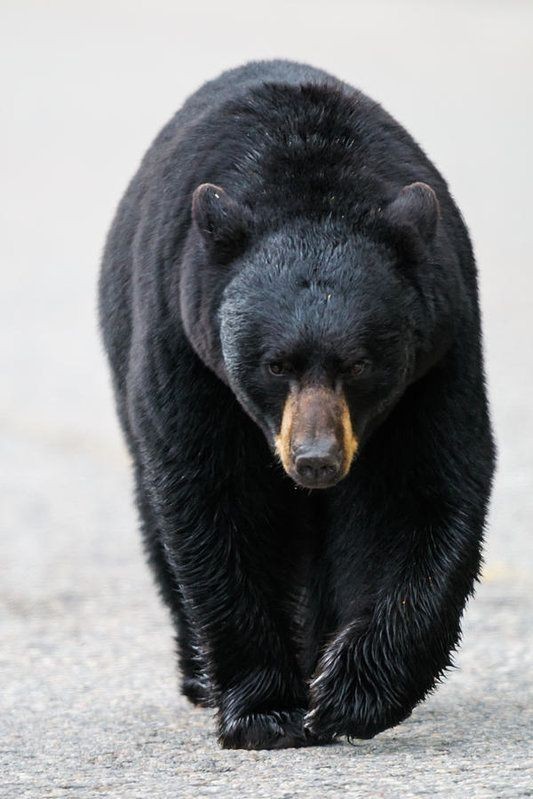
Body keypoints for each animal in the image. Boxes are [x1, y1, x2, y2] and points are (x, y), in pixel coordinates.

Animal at [98, 57, 494, 752]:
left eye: (358, 364)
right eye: (275, 364)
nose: (315, 459)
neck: (312, 186)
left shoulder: (438, 354)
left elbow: (424, 491)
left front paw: (350, 695)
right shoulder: (185, 346)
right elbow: (214, 498)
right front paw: (265, 710)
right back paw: (201, 675)